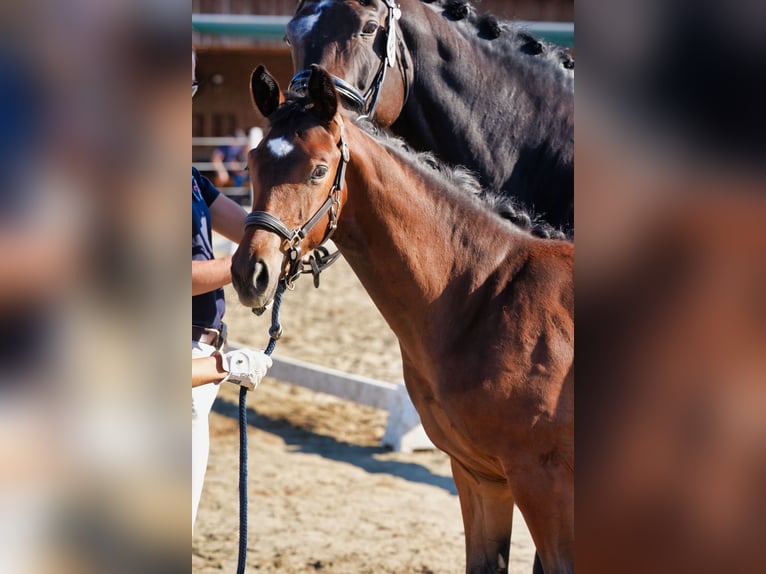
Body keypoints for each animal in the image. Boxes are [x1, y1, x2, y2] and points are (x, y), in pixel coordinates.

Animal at [230, 64, 574, 574]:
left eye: (318, 170)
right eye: (251, 164)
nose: (250, 273)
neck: (487, 294)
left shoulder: (544, 483)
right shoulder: (479, 476)